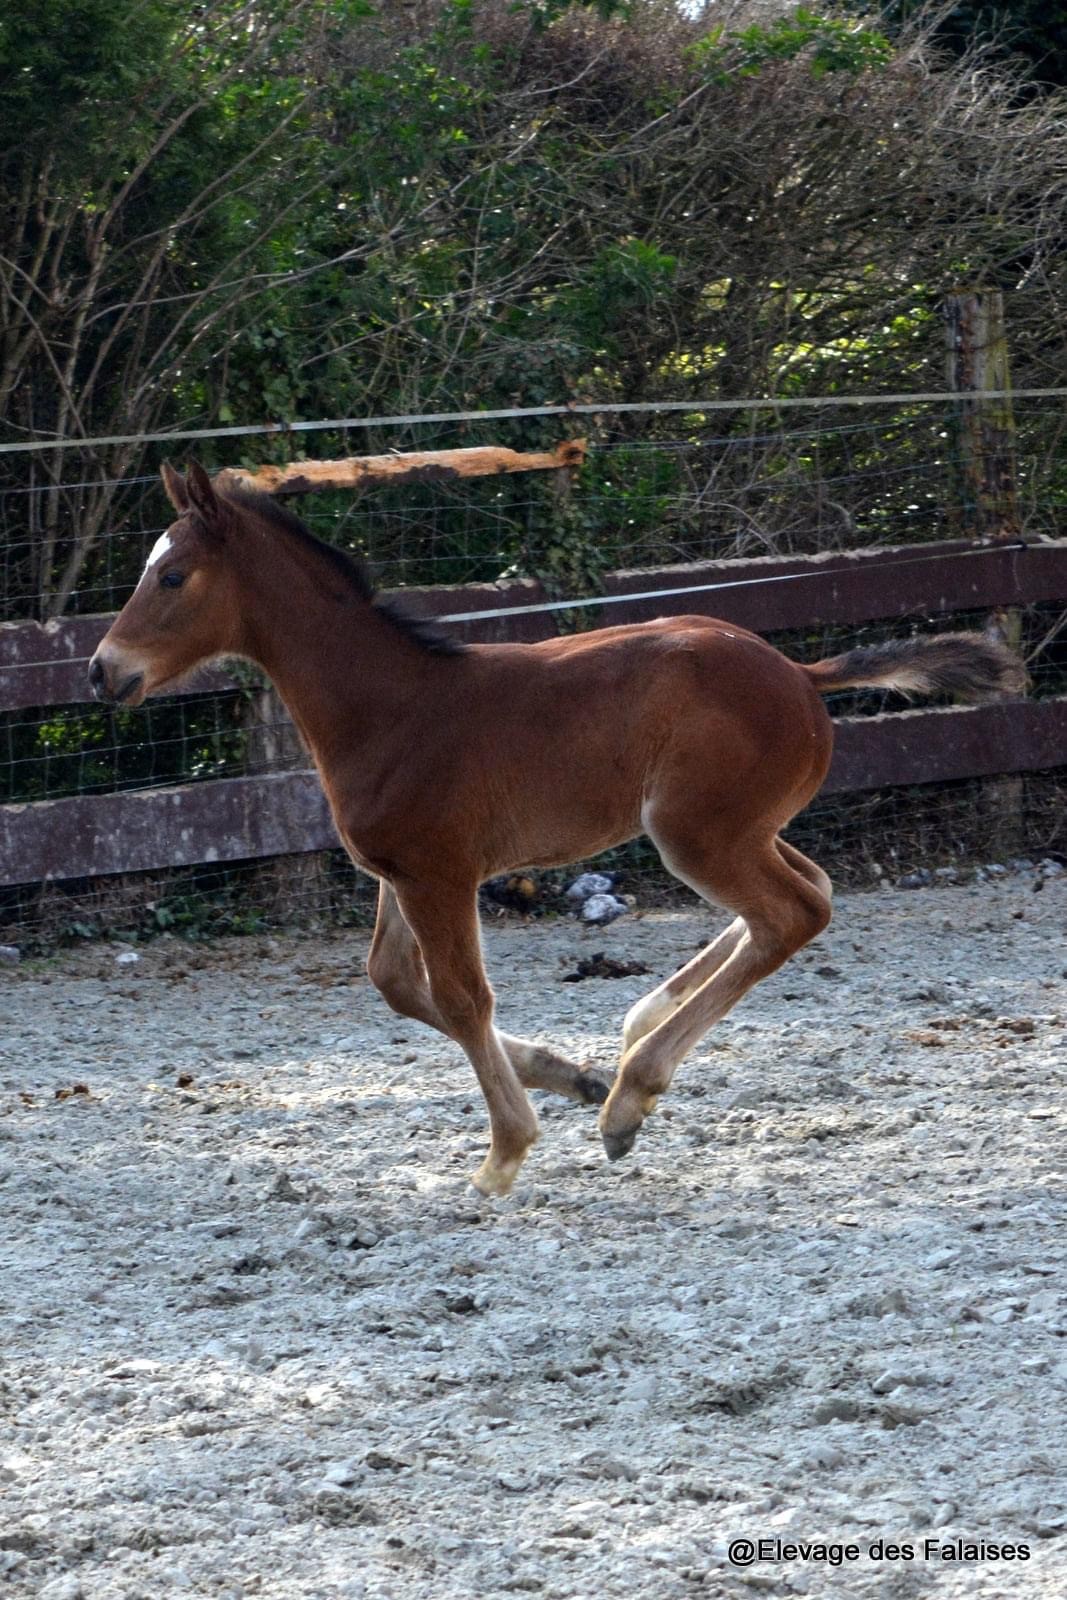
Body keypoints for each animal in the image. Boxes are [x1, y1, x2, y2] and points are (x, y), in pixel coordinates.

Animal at [91, 460, 1023, 1190]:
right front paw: (566, 1076)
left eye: (172, 578)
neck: (389, 708)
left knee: (789, 913)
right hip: (735, 826)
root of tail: (799, 673)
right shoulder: (402, 874)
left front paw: (505, 1152)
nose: (103, 672)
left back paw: (630, 1096)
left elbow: (461, 997)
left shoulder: (437, 874)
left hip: (697, 835)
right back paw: (635, 1038)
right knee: (807, 894)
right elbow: (398, 984)